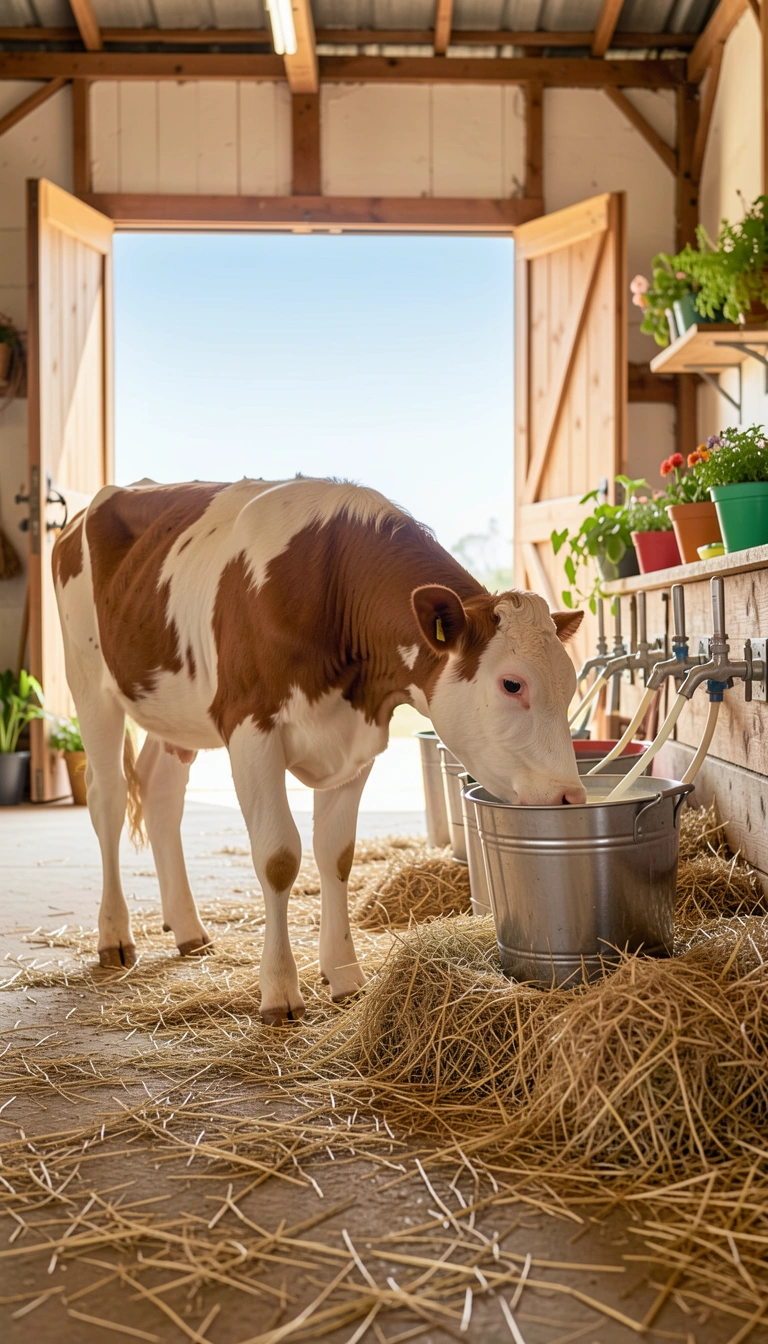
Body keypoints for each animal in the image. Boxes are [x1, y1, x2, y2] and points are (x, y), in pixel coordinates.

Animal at [53, 477, 585, 1024]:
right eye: (512, 684)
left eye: (569, 684)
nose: (570, 797)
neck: (334, 591)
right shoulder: (249, 727)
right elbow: (278, 857)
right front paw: (279, 990)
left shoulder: (359, 739)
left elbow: (336, 855)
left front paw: (345, 976)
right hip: (88, 683)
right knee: (109, 798)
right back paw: (114, 936)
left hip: (175, 714)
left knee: (162, 796)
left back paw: (188, 930)